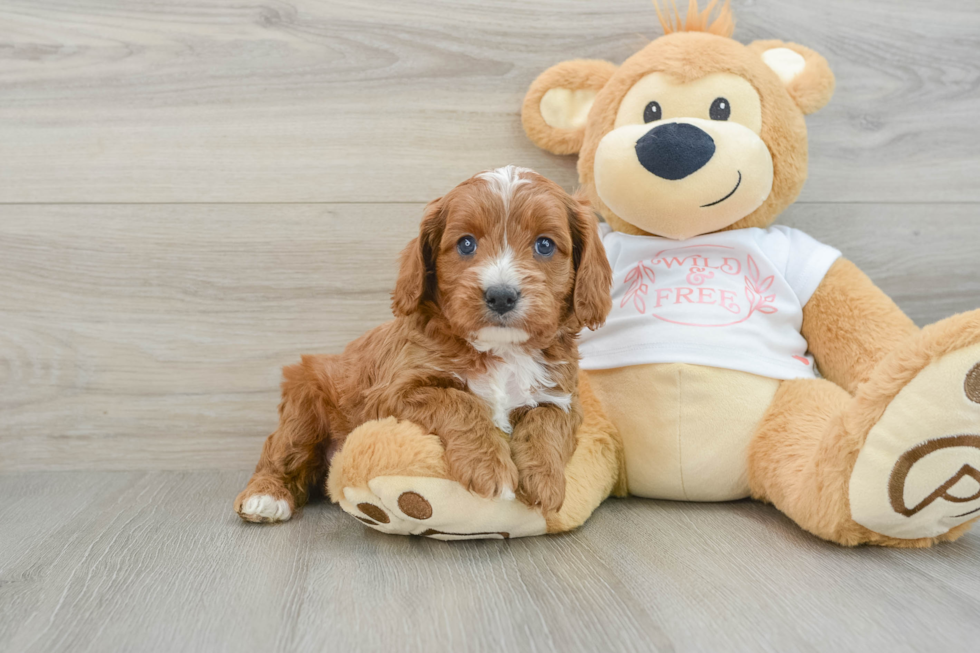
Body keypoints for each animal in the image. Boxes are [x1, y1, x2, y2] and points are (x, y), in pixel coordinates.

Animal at [234, 166, 608, 524]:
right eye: (466, 244)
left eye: (544, 245)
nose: (501, 295)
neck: (502, 350)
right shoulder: (393, 392)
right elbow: (459, 400)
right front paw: (489, 468)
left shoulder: (561, 397)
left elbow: (547, 423)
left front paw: (545, 481)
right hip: (304, 402)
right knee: (281, 450)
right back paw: (265, 497)